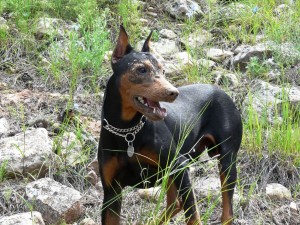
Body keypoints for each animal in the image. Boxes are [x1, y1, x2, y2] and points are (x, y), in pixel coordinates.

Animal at [99, 25, 244, 224]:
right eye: (141, 69)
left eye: (163, 71)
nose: (173, 92)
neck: (127, 132)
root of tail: (222, 92)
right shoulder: (111, 192)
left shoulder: (180, 165)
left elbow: (193, 216)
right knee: (175, 203)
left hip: (226, 160)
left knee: (226, 212)